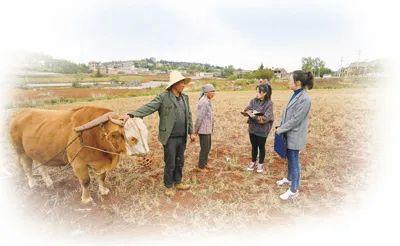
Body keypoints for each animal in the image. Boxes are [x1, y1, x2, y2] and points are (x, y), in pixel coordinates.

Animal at [9, 105, 150, 204]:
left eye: (146, 133)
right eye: (133, 138)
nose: (147, 153)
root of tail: (21, 113)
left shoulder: (100, 163)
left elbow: (102, 177)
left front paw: (104, 191)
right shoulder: (78, 163)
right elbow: (85, 181)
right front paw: (86, 199)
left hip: (37, 151)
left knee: (42, 166)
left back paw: (49, 182)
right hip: (21, 151)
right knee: (27, 168)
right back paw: (33, 184)